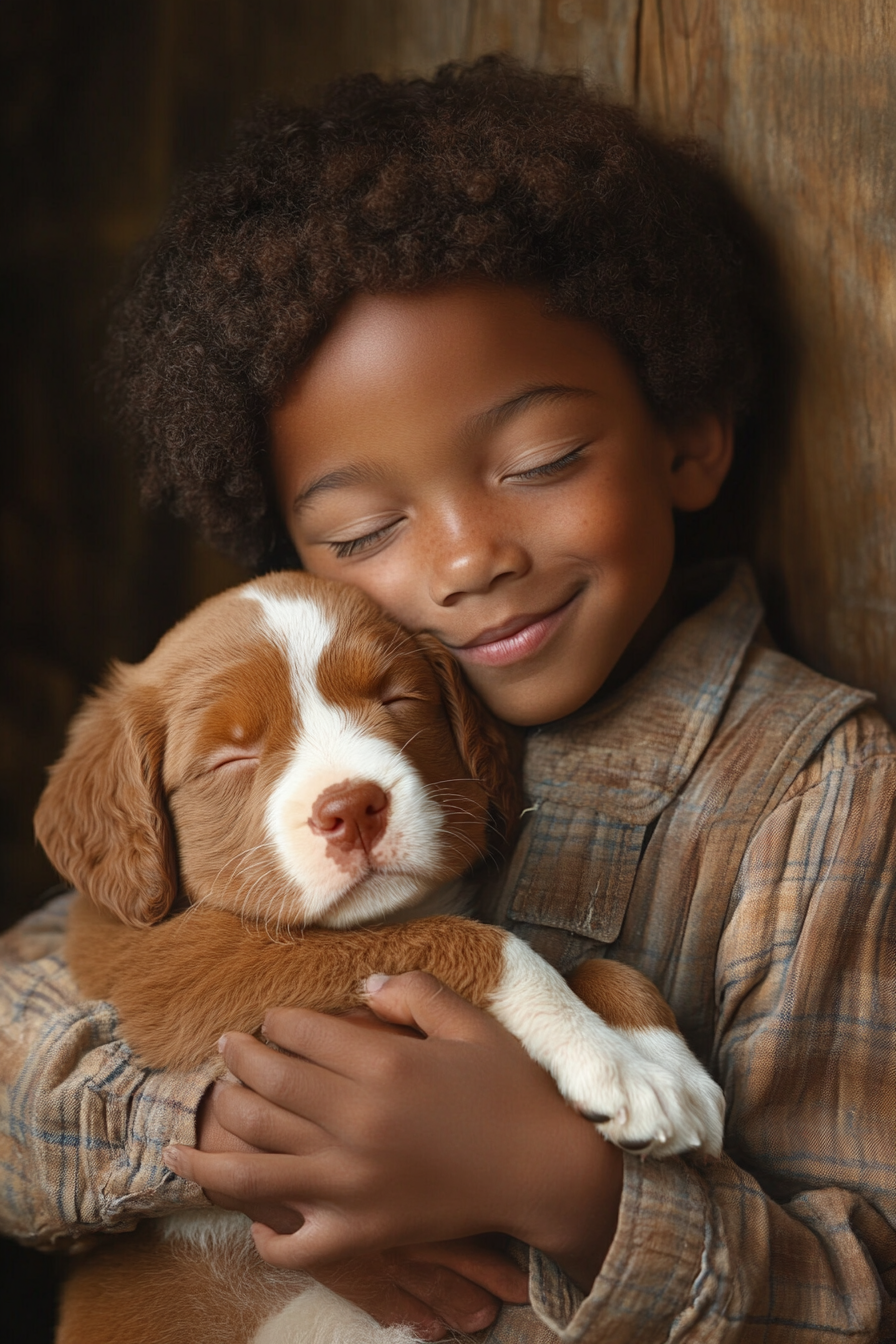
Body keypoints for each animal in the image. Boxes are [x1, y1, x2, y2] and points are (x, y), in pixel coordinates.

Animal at [36, 572, 730, 1344]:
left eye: (396, 699)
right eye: (231, 758)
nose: (352, 808)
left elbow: (602, 963)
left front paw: (667, 1066)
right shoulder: (168, 973)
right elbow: (476, 940)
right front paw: (610, 1062)